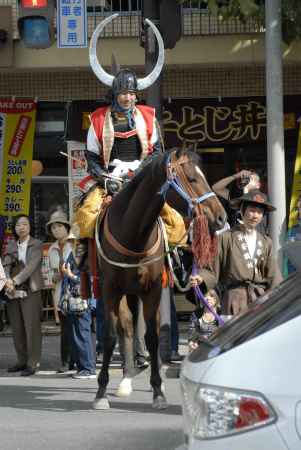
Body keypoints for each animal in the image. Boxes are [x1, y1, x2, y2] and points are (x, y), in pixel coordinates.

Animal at [92, 149, 225, 410]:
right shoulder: (110, 289)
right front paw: (101, 392)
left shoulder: (152, 289)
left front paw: (158, 391)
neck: (133, 232)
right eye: (192, 178)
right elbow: (110, 336)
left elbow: (152, 338)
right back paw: (125, 379)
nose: (221, 217)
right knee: (126, 329)